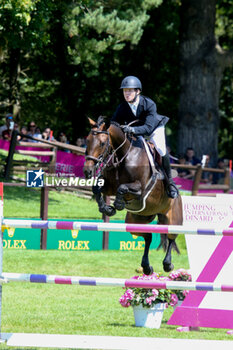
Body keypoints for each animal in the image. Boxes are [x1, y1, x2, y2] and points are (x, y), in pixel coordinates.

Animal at [83, 116, 183, 274]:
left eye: (102, 143)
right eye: (87, 140)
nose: (87, 171)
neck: (123, 155)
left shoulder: (140, 189)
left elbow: (122, 188)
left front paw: (118, 204)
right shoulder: (109, 187)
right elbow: (96, 189)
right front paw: (107, 209)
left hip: (173, 218)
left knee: (171, 237)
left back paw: (168, 264)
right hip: (135, 221)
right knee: (148, 237)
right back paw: (146, 267)